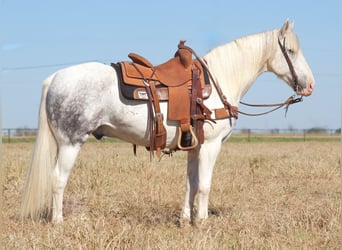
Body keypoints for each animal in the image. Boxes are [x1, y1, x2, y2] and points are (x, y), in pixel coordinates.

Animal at [20, 20, 316, 225]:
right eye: (290, 50)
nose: (310, 85)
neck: (218, 81)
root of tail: (56, 77)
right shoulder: (211, 146)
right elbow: (204, 185)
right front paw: (203, 222)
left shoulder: (194, 146)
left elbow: (191, 183)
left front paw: (186, 219)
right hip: (70, 143)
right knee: (58, 179)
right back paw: (58, 221)